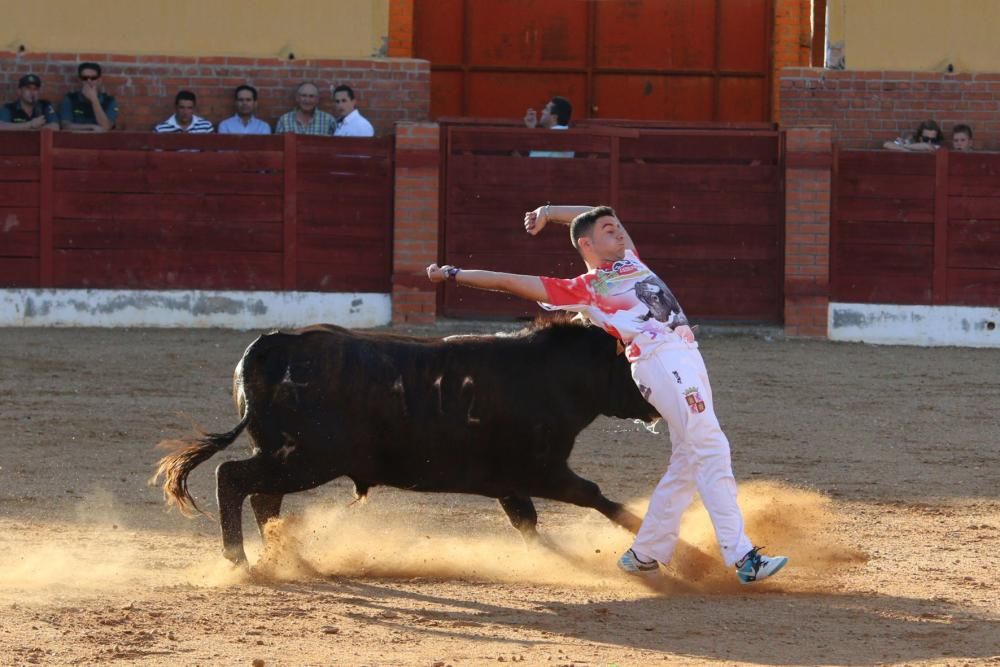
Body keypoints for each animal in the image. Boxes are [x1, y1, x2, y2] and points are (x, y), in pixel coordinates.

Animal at [154, 318, 664, 564]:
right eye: (632, 361)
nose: (659, 405)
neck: (555, 375)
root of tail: (270, 346)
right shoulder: (544, 470)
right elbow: (595, 497)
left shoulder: (510, 481)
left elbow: (528, 523)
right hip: (306, 459)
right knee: (233, 479)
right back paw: (238, 559)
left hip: (287, 457)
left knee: (262, 498)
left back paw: (287, 557)